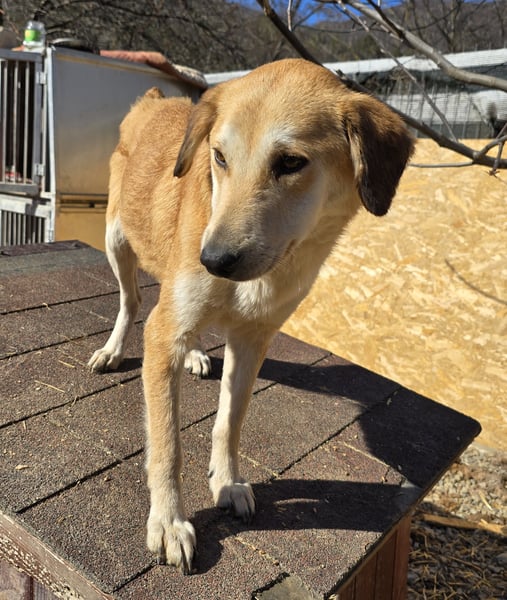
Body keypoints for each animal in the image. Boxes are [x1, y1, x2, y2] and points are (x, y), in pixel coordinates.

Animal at [88, 58, 414, 573]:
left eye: (291, 163)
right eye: (219, 157)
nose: (212, 260)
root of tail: (156, 99)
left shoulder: (253, 340)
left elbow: (230, 421)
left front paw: (227, 482)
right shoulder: (163, 332)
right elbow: (167, 445)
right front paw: (169, 522)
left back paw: (196, 354)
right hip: (117, 241)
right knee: (131, 302)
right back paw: (114, 349)